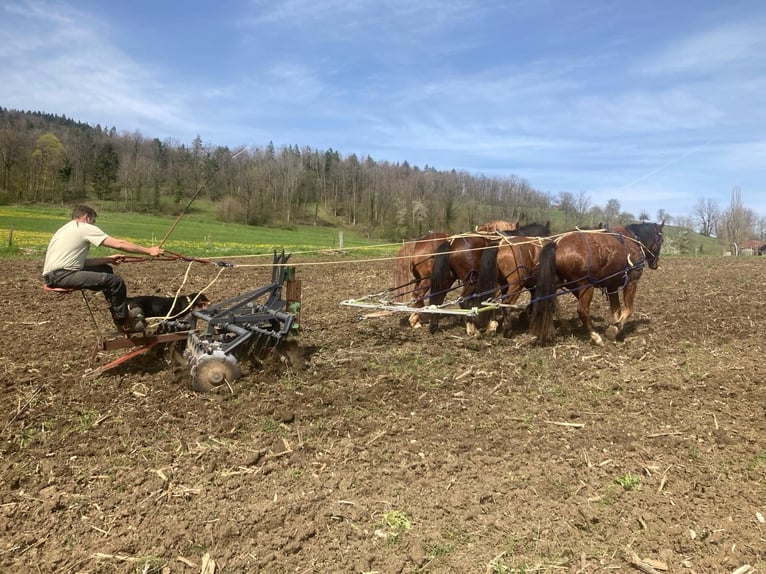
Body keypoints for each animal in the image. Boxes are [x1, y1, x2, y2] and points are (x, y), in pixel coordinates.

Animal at [528, 222, 664, 346]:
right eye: (661, 240)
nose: (655, 264)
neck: (633, 240)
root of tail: (557, 245)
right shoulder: (632, 282)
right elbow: (629, 309)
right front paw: (616, 328)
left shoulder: (612, 286)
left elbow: (616, 310)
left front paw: (616, 329)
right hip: (586, 286)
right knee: (582, 310)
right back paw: (595, 336)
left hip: (567, 286)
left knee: (551, 305)